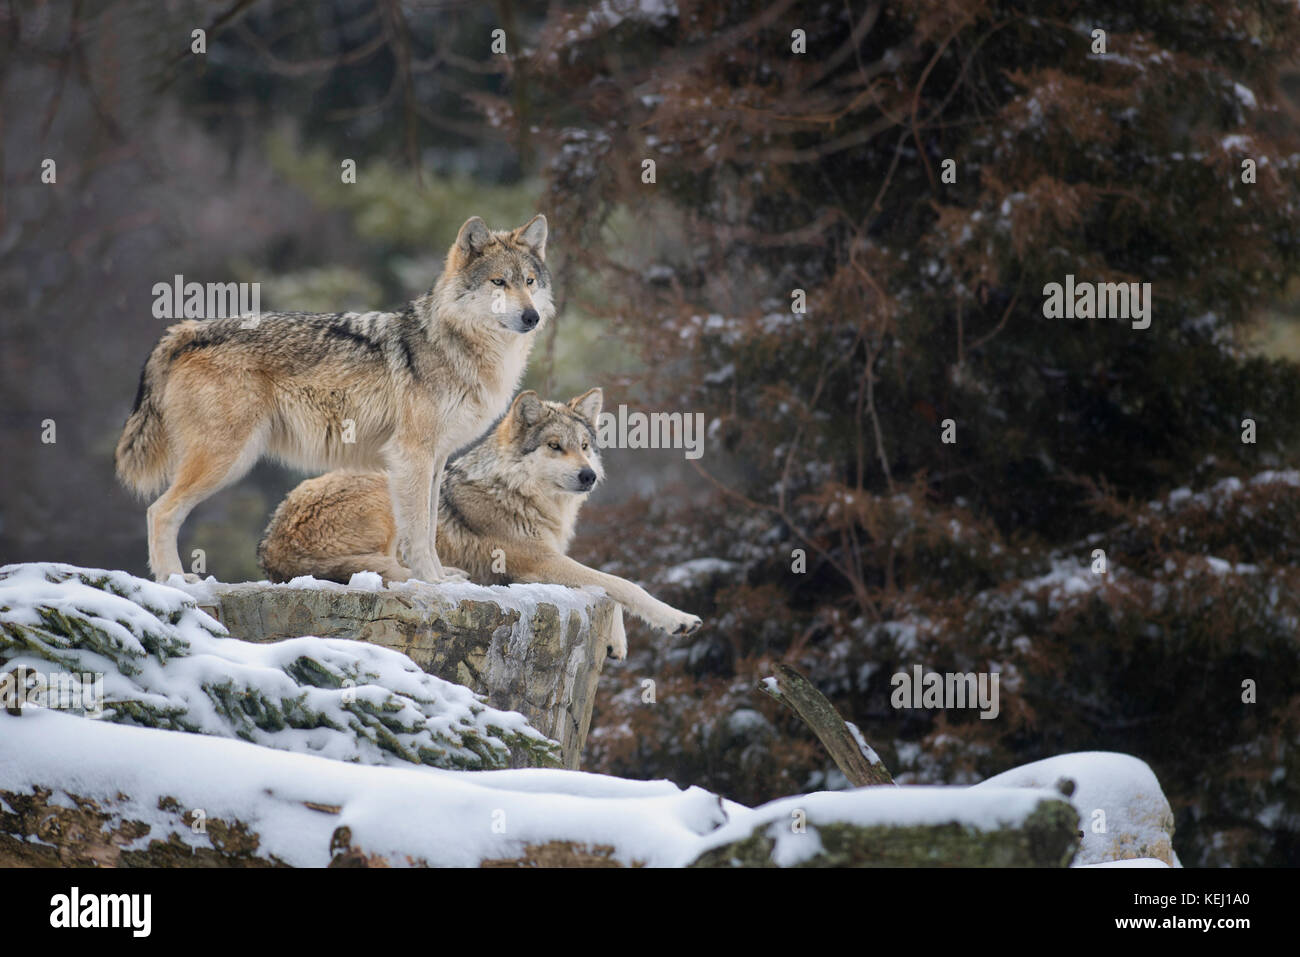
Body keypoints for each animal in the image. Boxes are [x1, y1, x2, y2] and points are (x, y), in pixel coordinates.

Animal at [113, 214, 553, 582]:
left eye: (530, 281)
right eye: (499, 282)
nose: (532, 317)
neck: (460, 347)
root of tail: (187, 329)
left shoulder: (435, 459)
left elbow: (429, 530)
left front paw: (442, 577)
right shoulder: (412, 455)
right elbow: (417, 534)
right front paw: (432, 582)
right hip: (227, 459)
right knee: (159, 511)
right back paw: (173, 579)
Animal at [258, 390, 707, 657]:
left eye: (584, 447)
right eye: (554, 446)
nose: (589, 476)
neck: (518, 493)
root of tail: (271, 546)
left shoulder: (546, 564)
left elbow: (605, 586)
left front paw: (615, 642)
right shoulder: (538, 563)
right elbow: (621, 584)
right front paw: (678, 619)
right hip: (390, 490)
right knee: (397, 569)